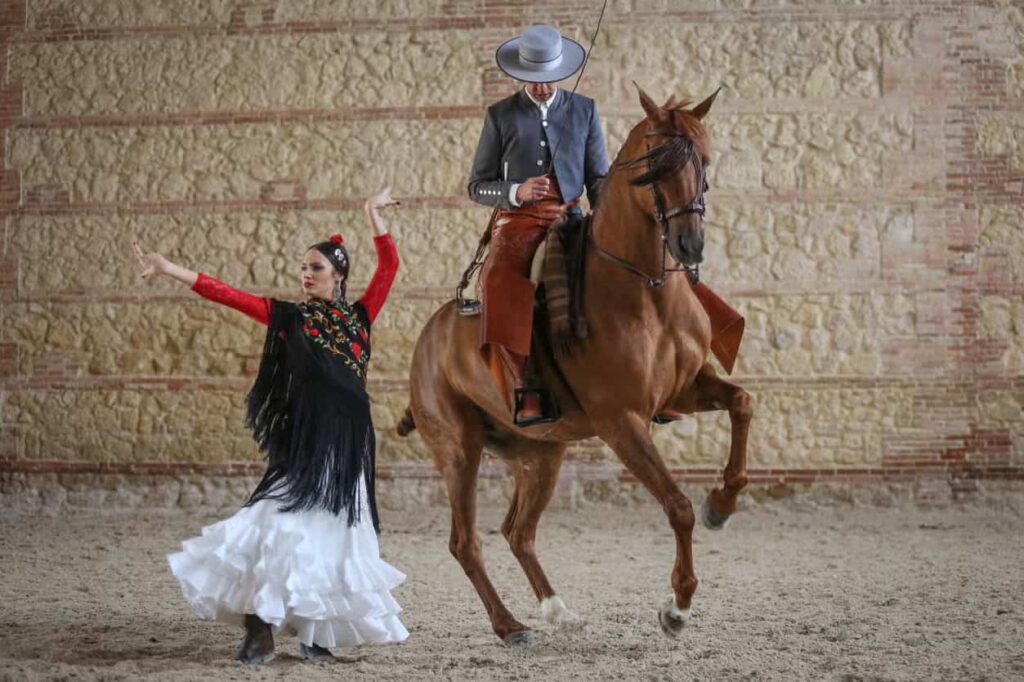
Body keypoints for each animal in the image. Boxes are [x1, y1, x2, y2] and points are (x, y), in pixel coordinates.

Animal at [399, 87, 753, 647]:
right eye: (654, 162)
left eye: (704, 159)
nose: (690, 245)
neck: (645, 292)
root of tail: (428, 341)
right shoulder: (622, 421)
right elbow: (677, 506)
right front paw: (677, 607)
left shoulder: (683, 391)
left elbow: (742, 401)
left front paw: (722, 504)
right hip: (459, 452)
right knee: (465, 542)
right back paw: (510, 626)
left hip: (542, 454)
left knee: (518, 532)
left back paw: (557, 610)